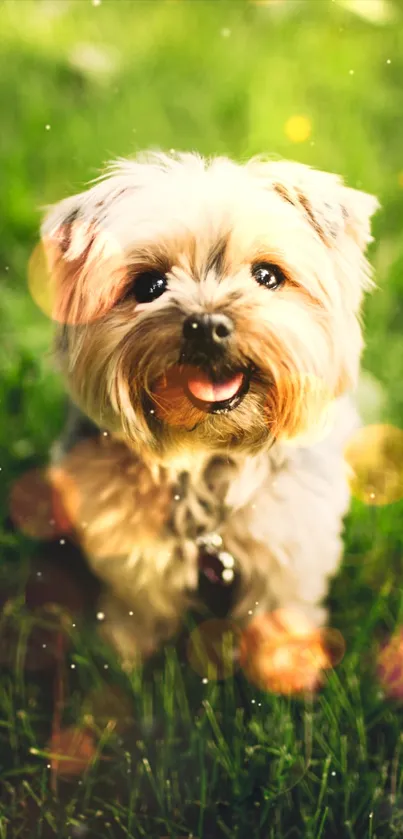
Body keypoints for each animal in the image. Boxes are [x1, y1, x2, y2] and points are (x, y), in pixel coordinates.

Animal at [42, 151, 380, 680]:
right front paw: (122, 658)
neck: (206, 453)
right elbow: (141, 600)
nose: (207, 325)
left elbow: (279, 607)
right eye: (151, 285)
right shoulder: (124, 531)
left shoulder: (290, 535)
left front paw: (285, 674)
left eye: (267, 276)